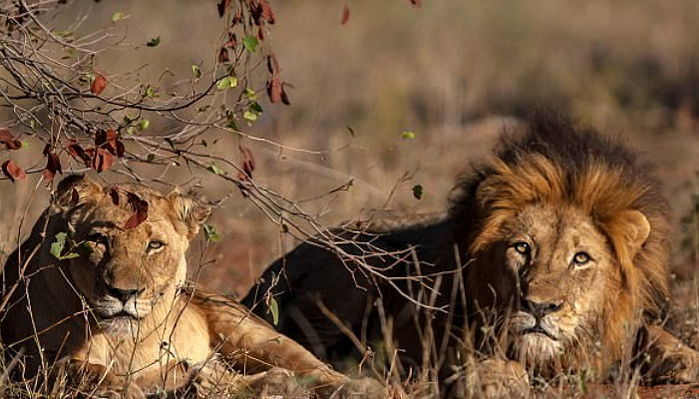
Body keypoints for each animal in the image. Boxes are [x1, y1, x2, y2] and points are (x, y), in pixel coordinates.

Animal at [1, 177, 382, 399]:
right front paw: (128, 387)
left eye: (154, 245)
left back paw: (360, 388)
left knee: (315, 370)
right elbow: (79, 370)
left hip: (249, 332)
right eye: (98, 240)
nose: (124, 294)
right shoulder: (25, 362)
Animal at [245, 115, 699, 396]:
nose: (539, 307)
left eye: (581, 259)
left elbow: (652, 334)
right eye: (522, 248)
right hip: (357, 274)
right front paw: (496, 379)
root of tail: (273, 270)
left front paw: (684, 357)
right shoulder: (450, 340)